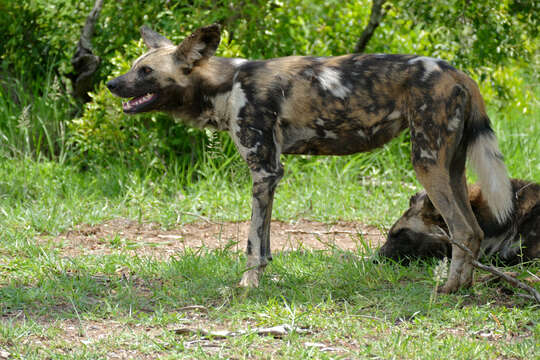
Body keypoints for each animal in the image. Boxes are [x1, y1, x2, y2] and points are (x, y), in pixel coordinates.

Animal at [106, 23, 516, 292]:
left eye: (145, 71)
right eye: (133, 65)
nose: (110, 84)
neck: (224, 86)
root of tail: (459, 73)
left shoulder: (264, 170)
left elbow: (252, 243)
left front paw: (248, 283)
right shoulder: (270, 175)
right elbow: (265, 242)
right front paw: (263, 276)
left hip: (427, 164)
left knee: (463, 229)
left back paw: (448, 291)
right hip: (452, 167)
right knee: (474, 229)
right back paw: (463, 288)